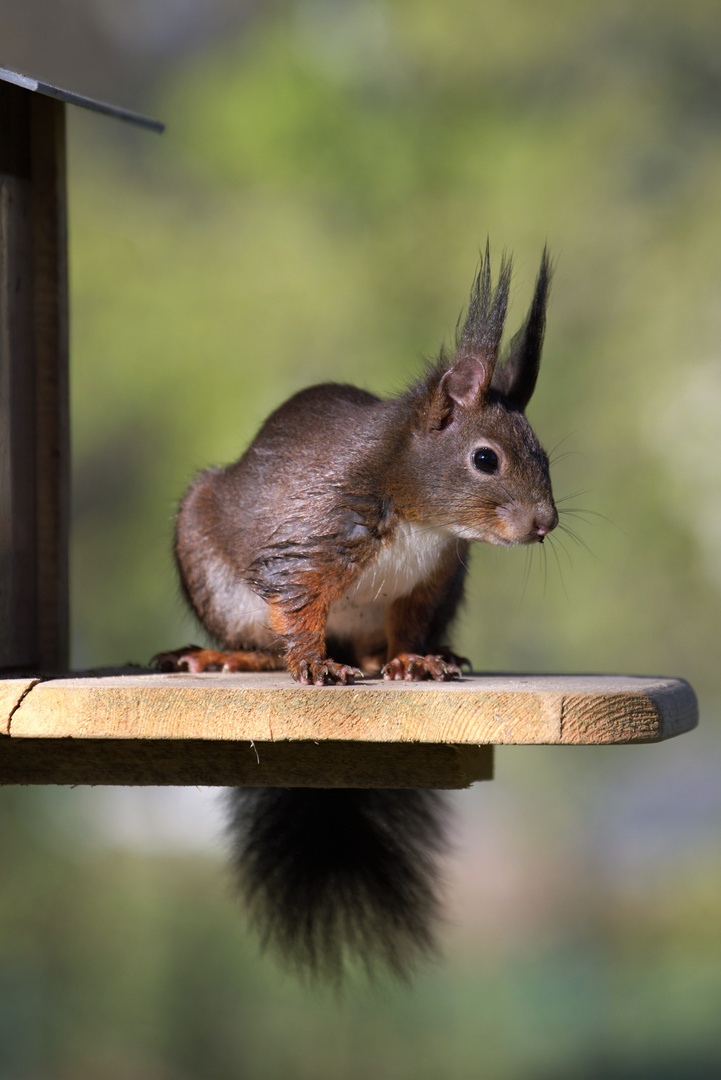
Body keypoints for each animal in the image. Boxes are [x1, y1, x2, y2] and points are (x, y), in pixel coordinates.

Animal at [153, 248, 556, 984]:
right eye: (486, 458)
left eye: (542, 453)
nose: (544, 523)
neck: (421, 516)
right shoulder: (311, 539)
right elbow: (298, 603)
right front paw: (314, 665)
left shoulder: (432, 577)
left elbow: (408, 623)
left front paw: (413, 659)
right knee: (258, 638)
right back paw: (232, 654)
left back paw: (409, 657)